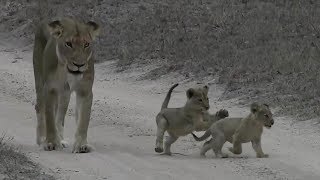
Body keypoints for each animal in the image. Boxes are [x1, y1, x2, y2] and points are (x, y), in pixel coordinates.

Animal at [32, 17, 100, 153]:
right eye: (68, 44)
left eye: (86, 44)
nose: (79, 65)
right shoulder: (50, 89)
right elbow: (50, 118)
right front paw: (51, 143)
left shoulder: (85, 91)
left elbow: (83, 120)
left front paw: (82, 145)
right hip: (40, 82)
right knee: (40, 107)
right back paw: (42, 139)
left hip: (65, 94)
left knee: (60, 115)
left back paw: (61, 139)